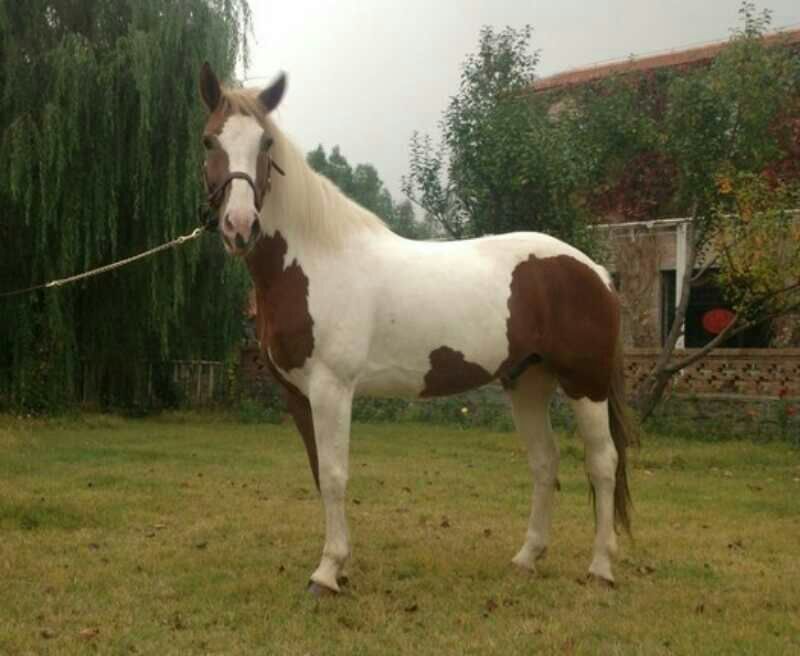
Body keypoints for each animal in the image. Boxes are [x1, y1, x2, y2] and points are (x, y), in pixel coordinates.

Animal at [198, 62, 637, 595]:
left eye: (265, 143)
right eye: (209, 140)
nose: (240, 226)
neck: (313, 260)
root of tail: (595, 271)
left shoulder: (331, 389)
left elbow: (336, 474)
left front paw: (327, 572)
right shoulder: (297, 394)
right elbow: (320, 474)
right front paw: (338, 563)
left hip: (585, 384)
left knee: (602, 463)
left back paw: (601, 568)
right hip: (528, 382)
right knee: (545, 462)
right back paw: (527, 558)